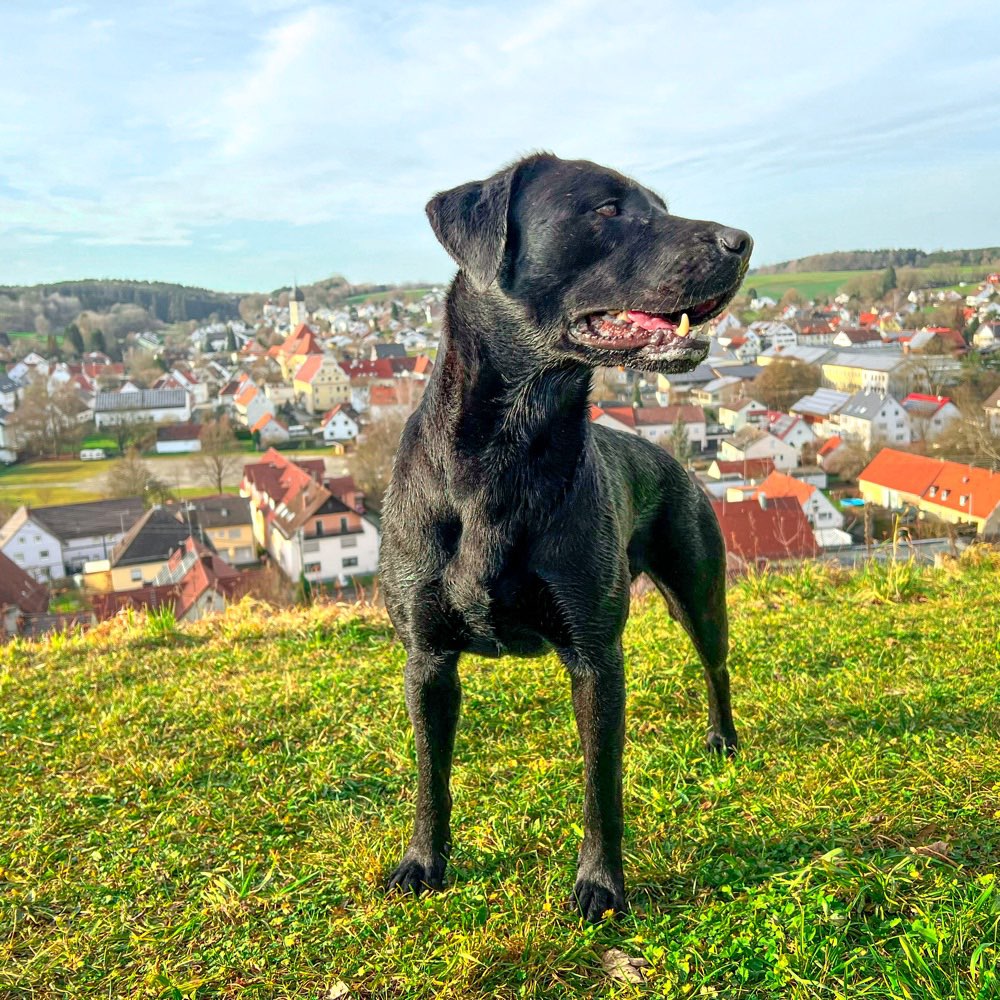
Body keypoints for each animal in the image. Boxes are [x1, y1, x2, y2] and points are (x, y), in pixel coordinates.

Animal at [380, 150, 752, 920]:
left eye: (659, 206)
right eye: (607, 210)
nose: (743, 241)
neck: (509, 449)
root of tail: (676, 459)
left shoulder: (596, 660)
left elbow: (601, 786)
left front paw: (601, 885)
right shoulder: (426, 662)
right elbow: (430, 778)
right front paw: (423, 863)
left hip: (697, 595)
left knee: (717, 667)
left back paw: (723, 739)